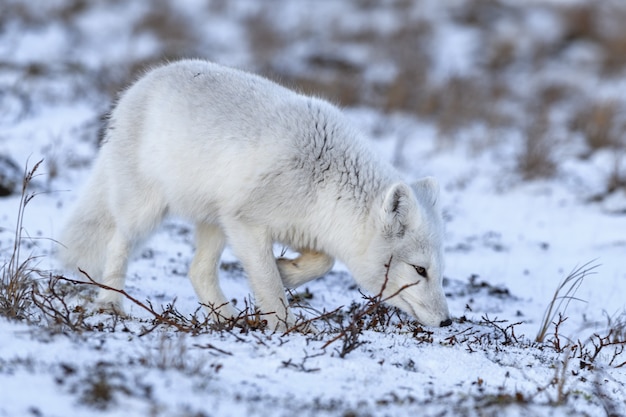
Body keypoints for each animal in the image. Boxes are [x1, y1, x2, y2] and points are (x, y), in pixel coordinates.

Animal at [58, 59, 448, 332]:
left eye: (439, 271)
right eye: (420, 270)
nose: (447, 321)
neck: (327, 180)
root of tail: (138, 86)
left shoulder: (299, 227)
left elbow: (323, 262)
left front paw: (286, 271)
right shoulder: (247, 223)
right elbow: (268, 284)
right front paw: (285, 327)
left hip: (214, 222)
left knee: (198, 272)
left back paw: (226, 319)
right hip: (146, 212)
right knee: (118, 244)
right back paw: (109, 303)